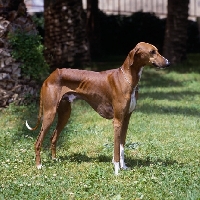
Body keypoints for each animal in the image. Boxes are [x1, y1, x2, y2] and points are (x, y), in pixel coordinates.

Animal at [25, 42, 170, 175]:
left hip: (65, 114)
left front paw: (124, 167)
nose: (168, 63)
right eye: (152, 52)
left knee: (53, 137)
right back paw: (39, 166)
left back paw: (55, 159)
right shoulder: (117, 121)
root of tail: (50, 75)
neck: (127, 79)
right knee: (38, 142)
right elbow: (116, 149)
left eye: (156, 50)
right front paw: (117, 171)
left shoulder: (126, 119)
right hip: (49, 114)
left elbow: (122, 146)